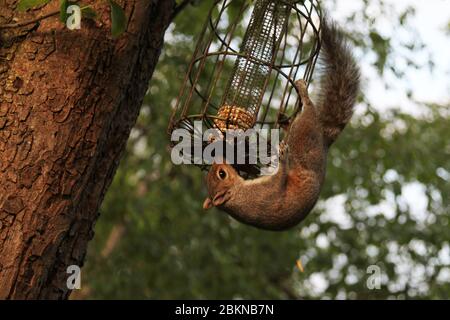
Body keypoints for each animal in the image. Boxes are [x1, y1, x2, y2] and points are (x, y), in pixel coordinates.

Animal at [202, 18, 360, 230]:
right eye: (221, 174)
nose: (218, 159)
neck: (238, 195)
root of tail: (323, 141)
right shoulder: (268, 191)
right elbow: (280, 179)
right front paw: (283, 159)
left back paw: (284, 119)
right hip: (304, 136)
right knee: (308, 111)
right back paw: (302, 93)